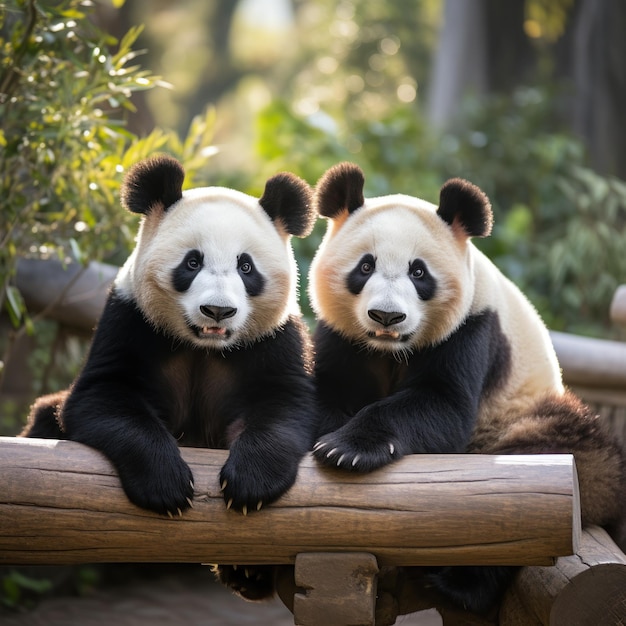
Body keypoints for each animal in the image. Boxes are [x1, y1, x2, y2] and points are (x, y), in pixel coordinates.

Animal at [23, 156, 316, 596]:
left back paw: (249, 573)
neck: (203, 346)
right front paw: (167, 486)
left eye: (246, 266)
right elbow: (103, 397)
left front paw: (249, 484)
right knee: (46, 415)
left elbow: (286, 406)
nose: (218, 311)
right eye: (192, 262)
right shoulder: (129, 321)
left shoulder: (275, 339)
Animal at [308, 162, 624, 616]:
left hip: (521, 421)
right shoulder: (342, 335)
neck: (390, 351)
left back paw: (460, 585)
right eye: (364, 267)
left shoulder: (473, 328)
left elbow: (443, 406)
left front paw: (348, 448)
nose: (386, 316)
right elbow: (323, 391)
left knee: (550, 480)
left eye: (418, 272)